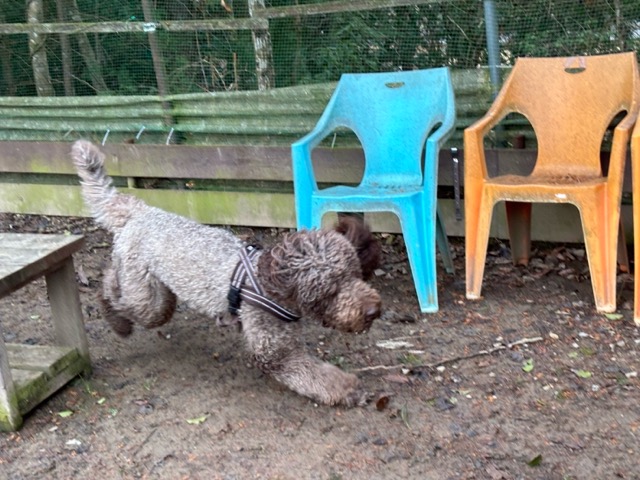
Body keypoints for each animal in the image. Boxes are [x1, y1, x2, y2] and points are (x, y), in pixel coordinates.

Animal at [71, 140, 382, 406]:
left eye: (355, 274)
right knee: (112, 289)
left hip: (158, 291)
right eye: (330, 289)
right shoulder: (273, 350)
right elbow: (312, 374)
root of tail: (141, 211)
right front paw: (347, 389)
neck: (269, 283)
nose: (373, 311)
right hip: (144, 298)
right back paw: (116, 318)